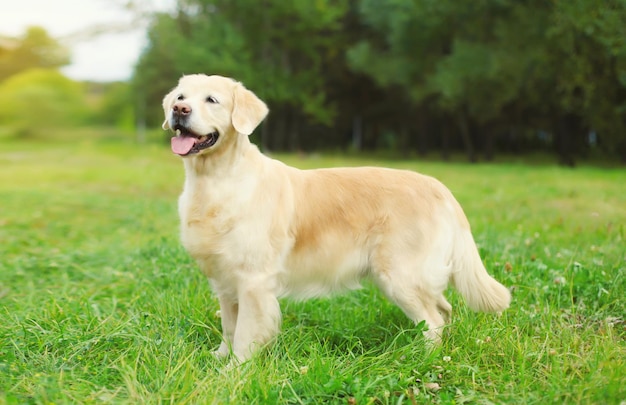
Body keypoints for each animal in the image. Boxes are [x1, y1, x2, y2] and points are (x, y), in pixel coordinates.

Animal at [163, 74, 510, 362]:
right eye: (181, 96)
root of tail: (439, 187)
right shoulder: (224, 281)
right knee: (444, 310)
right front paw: (219, 357)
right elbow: (229, 326)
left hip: (400, 275)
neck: (216, 180)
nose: (179, 109)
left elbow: (246, 334)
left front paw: (235, 371)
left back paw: (421, 359)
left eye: (211, 99)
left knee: (434, 321)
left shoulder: (253, 281)